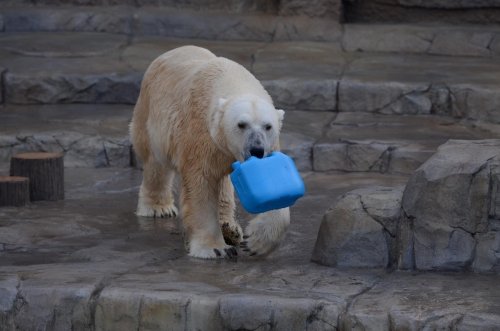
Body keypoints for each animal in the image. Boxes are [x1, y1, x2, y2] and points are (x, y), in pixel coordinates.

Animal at [130, 46, 290, 260]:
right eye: (241, 124)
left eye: (268, 126)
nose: (257, 150)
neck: (231, 80)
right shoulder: (200, 136)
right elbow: (201, 185)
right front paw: (215, 249)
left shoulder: (269, 147)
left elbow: (278, 189)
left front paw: (256, 242)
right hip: (151, 115)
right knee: (156, 163)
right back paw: (158, 208)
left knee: (223, 184)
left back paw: (230, 228)